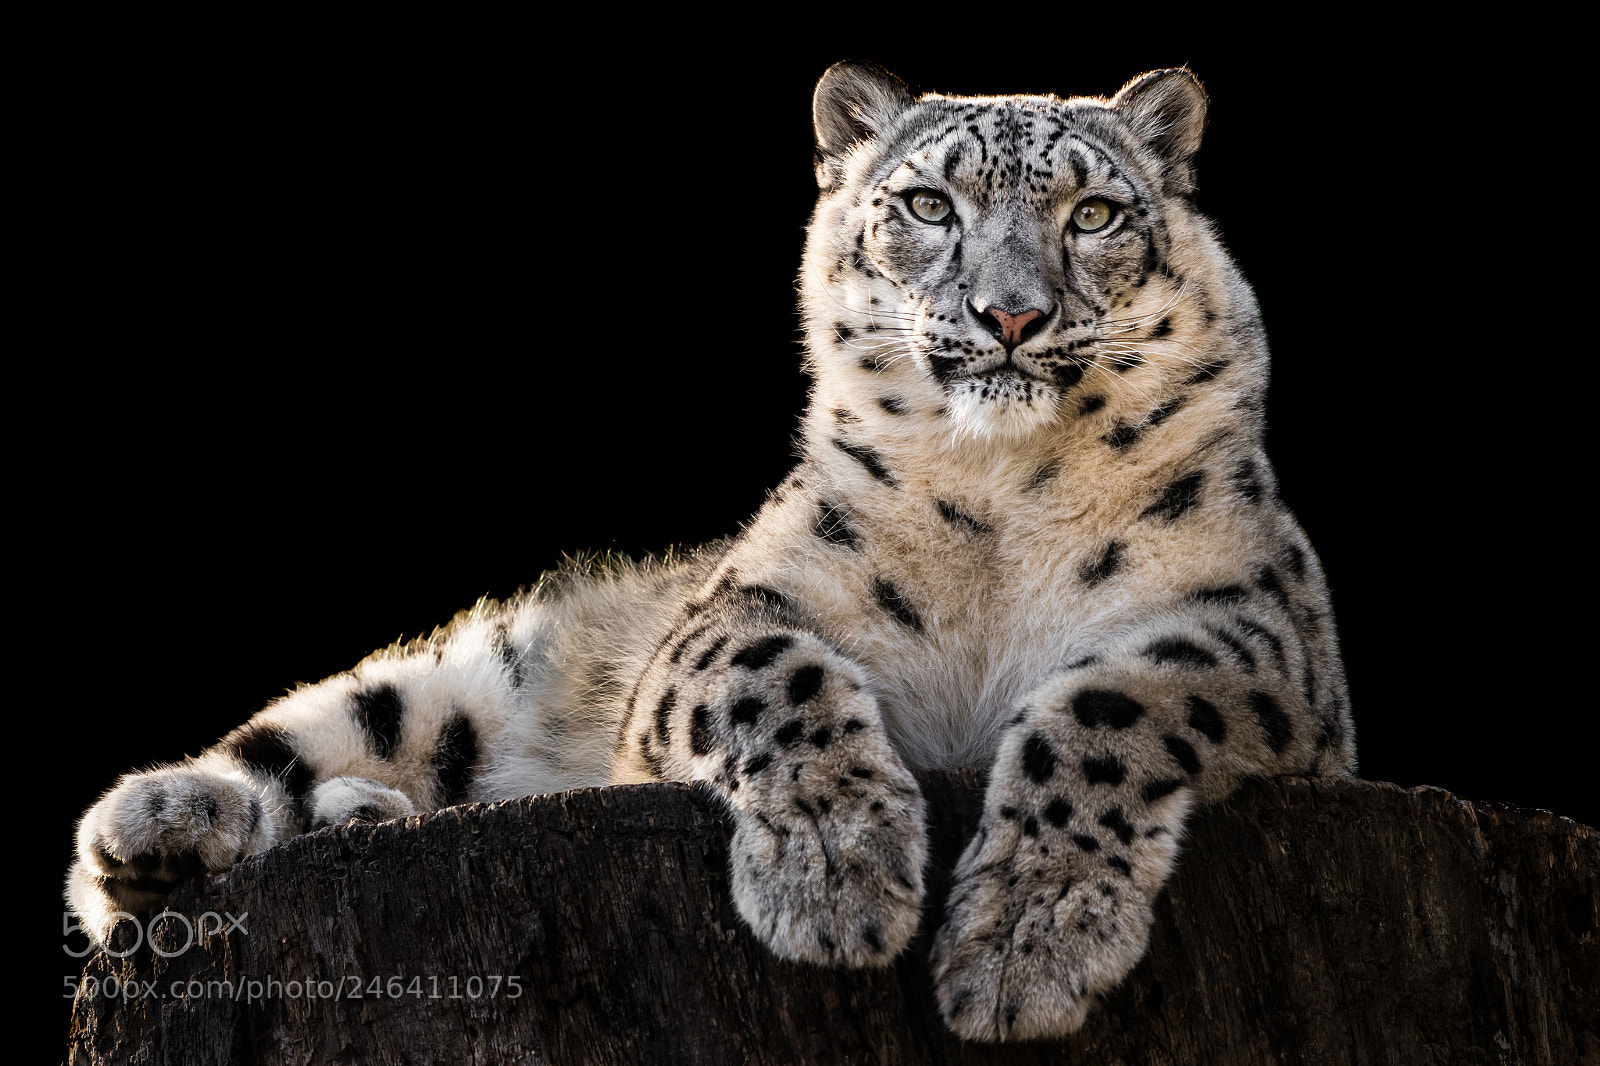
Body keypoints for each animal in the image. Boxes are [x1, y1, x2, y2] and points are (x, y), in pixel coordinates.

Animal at [67, 62, 1354, 1041]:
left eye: (1094, 215)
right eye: (928, 205)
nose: (1010, 314)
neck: (998, 494)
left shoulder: (1254, 631)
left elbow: (1109, 709)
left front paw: (1022, 945)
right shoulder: (731, 610)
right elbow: (775, 677)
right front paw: (839, 877)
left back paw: (348, 818)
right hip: (482, 673)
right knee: (339, 725)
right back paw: (165, 824)